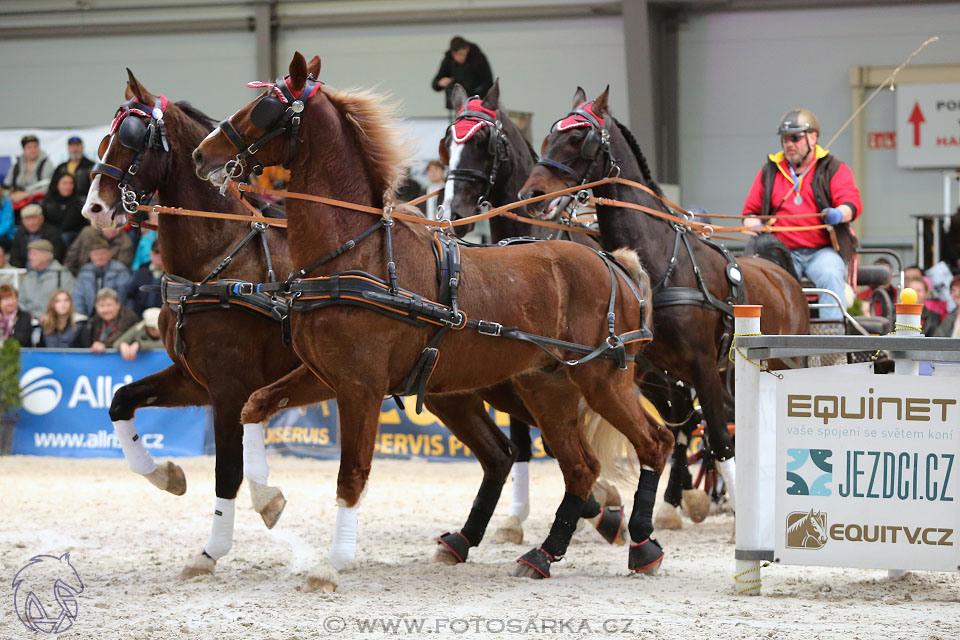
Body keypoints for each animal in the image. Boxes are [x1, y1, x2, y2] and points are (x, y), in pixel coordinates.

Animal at [193, 52, 676, 592]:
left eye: (264, 108)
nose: (201, 154)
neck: (358, 254)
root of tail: (613, 262)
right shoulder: (327, 375)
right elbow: (255, 405)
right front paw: (268, 501)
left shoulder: (361, 385)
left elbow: (352, 473)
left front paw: (332, 562)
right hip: (546, 386)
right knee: (580, 467)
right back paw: (543, 553)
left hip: (603, 379)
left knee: (655, 444)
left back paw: (643, 543)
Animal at [516, 86, 808, 516]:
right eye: (549, 136)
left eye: (580, 137)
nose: (530, 195)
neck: (660, 264)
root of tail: (781, 273)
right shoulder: (653, 374)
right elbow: (680, 435)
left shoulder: (703, 366)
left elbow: (720, 438)